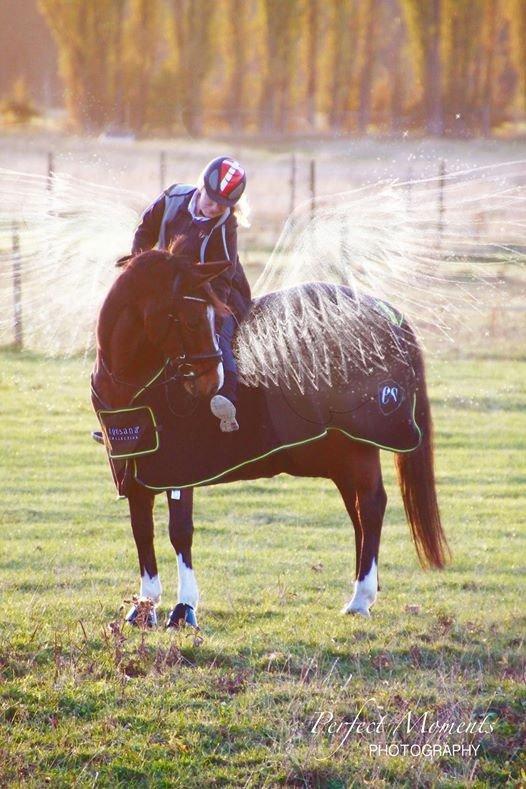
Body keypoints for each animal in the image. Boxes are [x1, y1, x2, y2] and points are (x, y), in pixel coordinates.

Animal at [92, 251, 450, 628]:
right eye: (189, 320)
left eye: (213, 318)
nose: (211, 383)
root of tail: (387, 314)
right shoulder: (136, 469)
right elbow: (142, 529)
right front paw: (144, 606)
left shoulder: (179, 469)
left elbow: (180, 531)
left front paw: (185, 607)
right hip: (341, 453)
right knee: (359, 511)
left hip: (357, 447)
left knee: (370, 506)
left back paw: (360, 598)